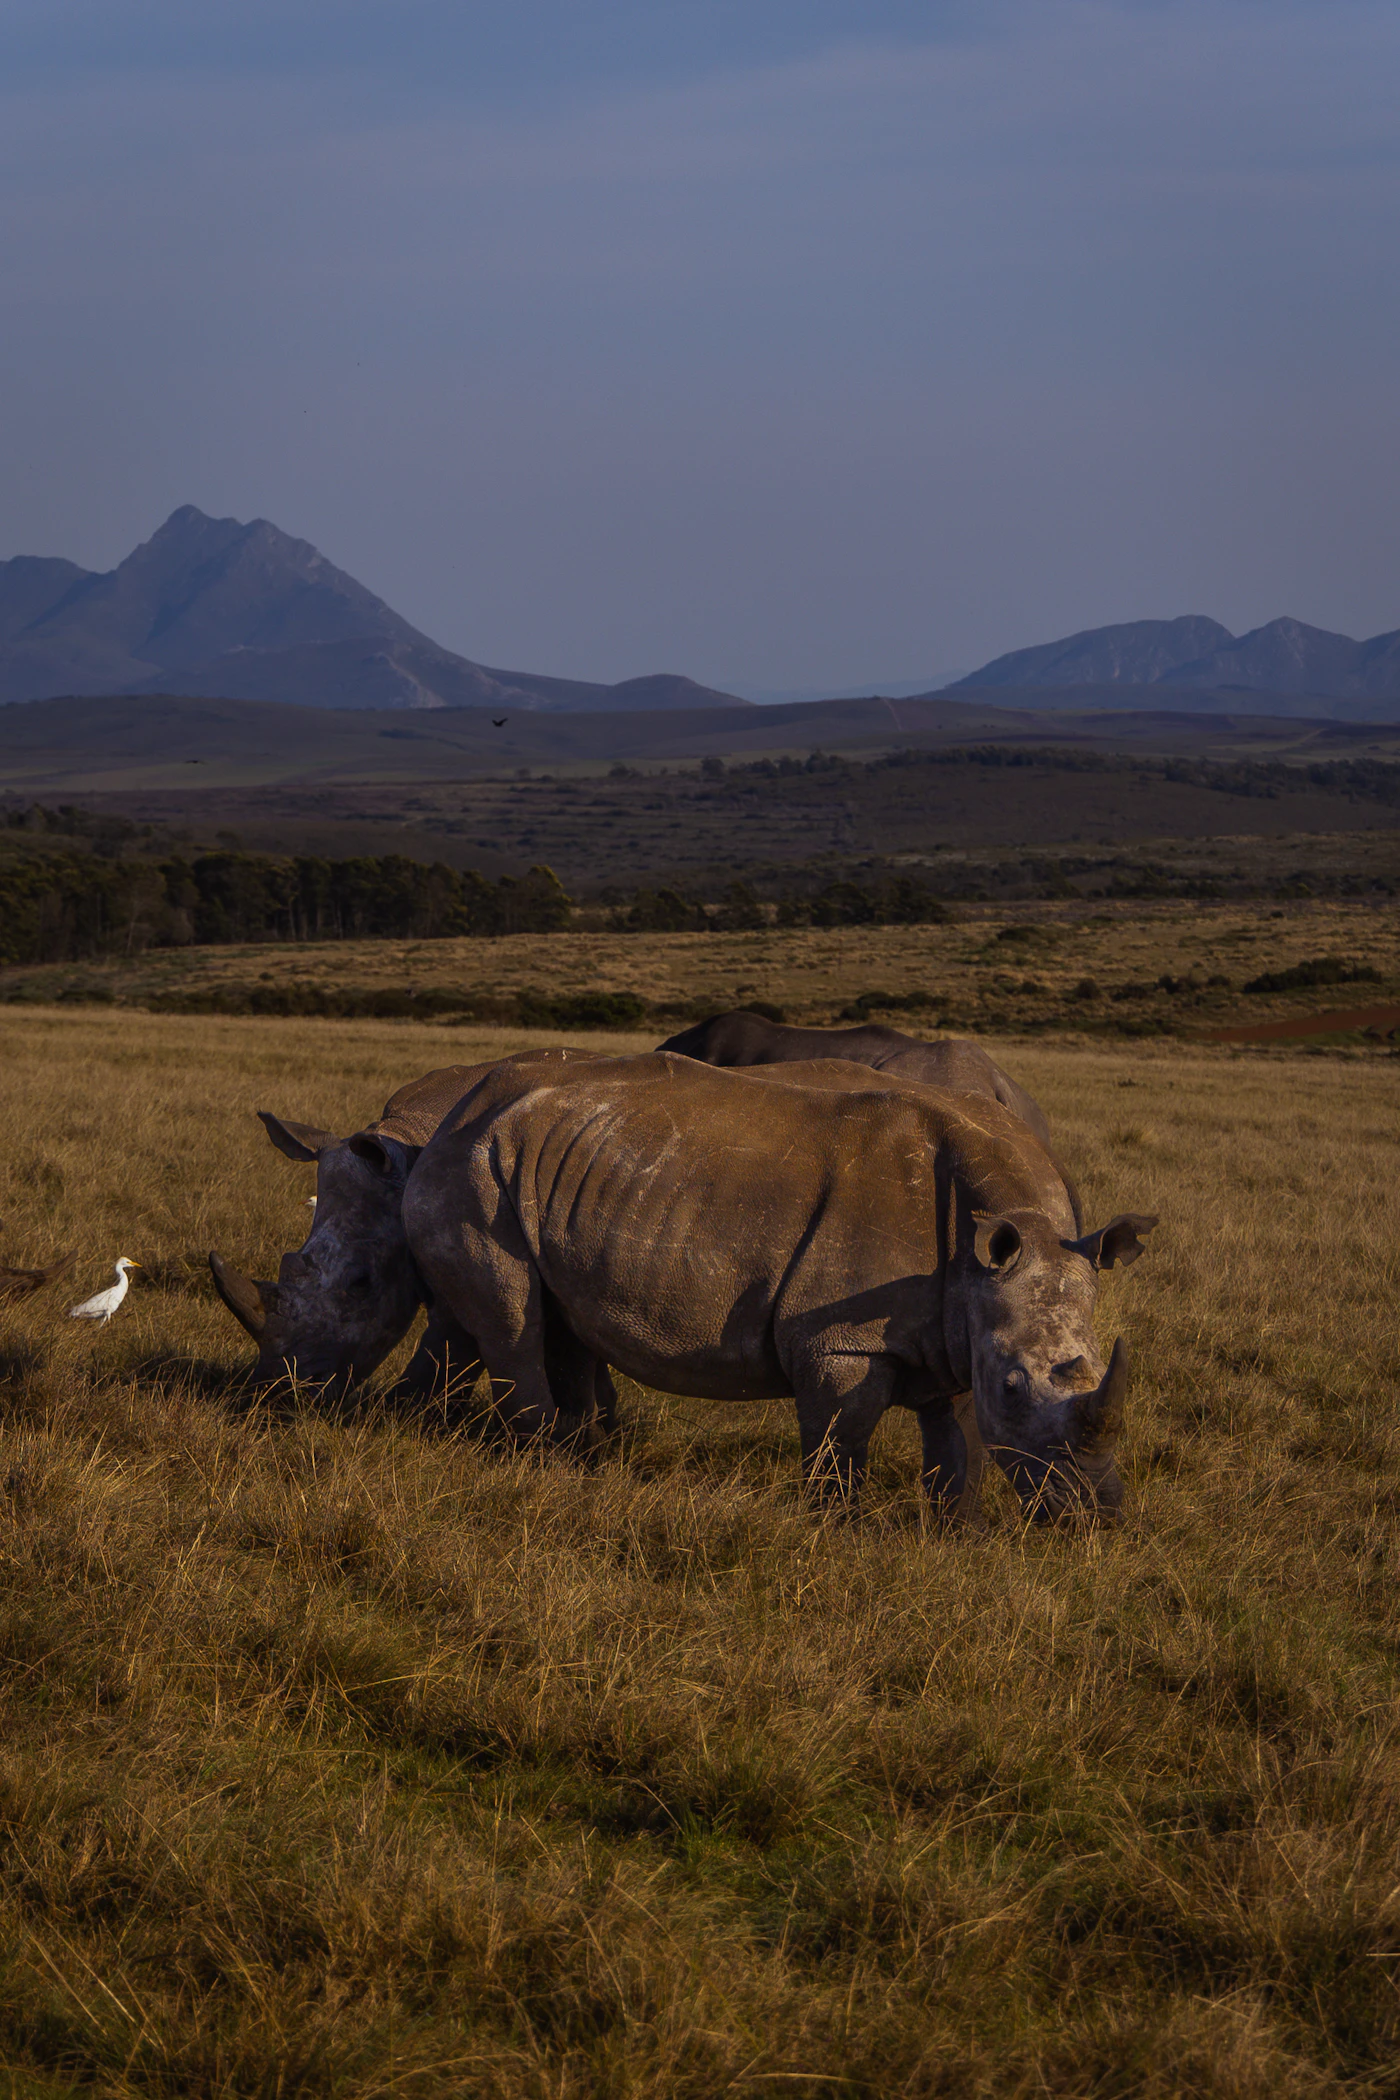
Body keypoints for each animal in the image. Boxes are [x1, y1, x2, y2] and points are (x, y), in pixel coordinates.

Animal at [402, 1053, 1155, 1521]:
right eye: (1015, 1387)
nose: (1094, 1517)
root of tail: (465, 1100)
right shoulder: (841, 1340)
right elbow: (839, 1442)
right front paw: (839, 1529)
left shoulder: (959, 1330)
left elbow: (958, 1446)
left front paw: (956, 1533)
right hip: (473, 1169)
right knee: (513, 1324)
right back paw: (543, 1464)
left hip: (536, 1167)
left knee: (541, 1322)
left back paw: (553, 1455)